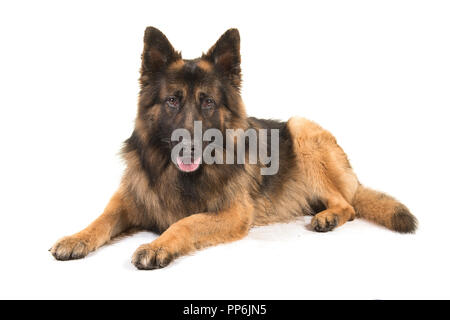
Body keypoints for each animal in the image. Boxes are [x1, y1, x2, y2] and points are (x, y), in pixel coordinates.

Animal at [50, 26, 418, 270]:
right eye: (172, 101)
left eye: (208, 102)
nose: (189, 145)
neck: (182, 177)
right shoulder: (130, 198)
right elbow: (101, 218)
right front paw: (76, 238)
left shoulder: (232, 213)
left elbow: (185, 222)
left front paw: (157, 245)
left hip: (301, 128)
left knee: (348, 204)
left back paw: (328, 216)